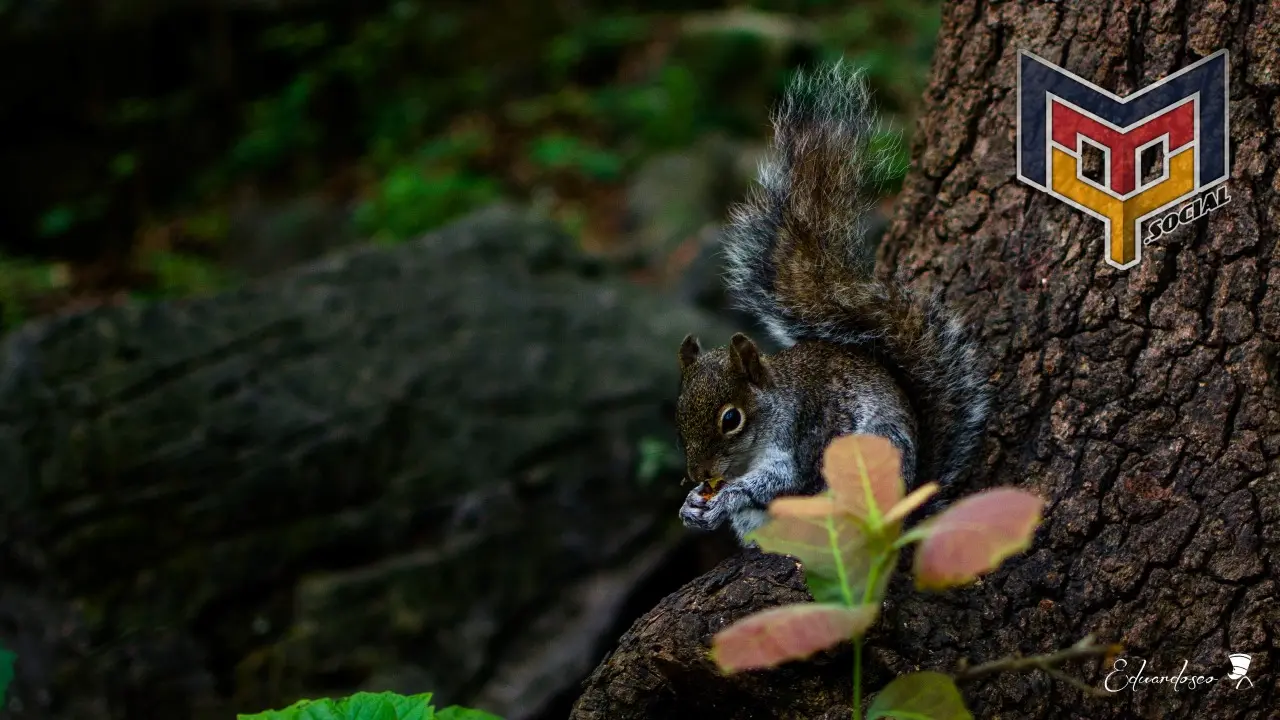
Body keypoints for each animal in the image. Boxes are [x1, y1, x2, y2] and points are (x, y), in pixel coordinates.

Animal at [680, 61, 988, 540]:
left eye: (731, 419)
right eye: (678, 410)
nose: (699, 474)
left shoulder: (803, 433)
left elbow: (781, 480)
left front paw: (728, 493)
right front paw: (693, 504)